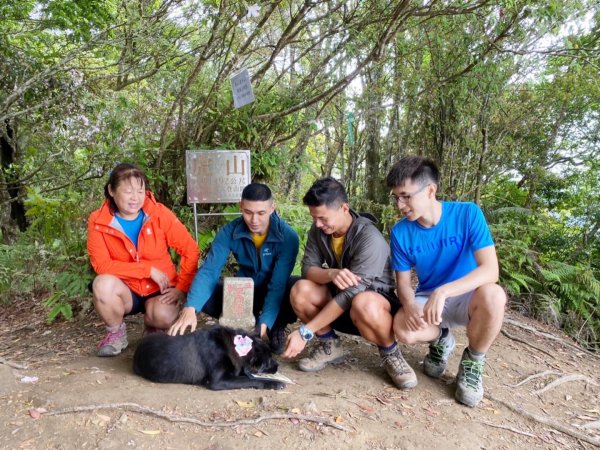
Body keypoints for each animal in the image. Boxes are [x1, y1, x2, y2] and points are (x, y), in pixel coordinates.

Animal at [132, 326, 284, 390]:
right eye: (269, 360)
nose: (278, 366)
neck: (236, 346)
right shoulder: (218, 381)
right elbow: (249, 379)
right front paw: (274, 383)